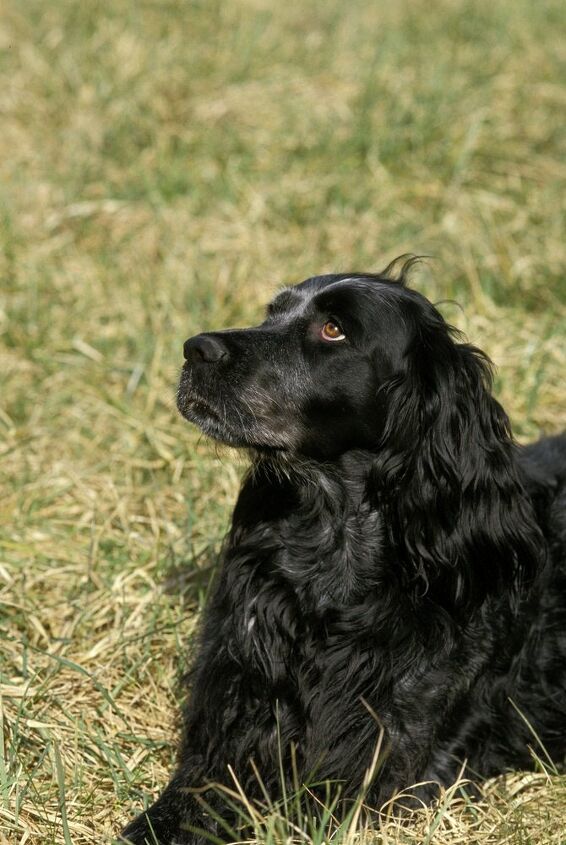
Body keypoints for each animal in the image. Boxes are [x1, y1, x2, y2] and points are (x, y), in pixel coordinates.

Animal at [124, 260, 566, 840]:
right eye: (272, 313)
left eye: (333, 329)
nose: (195, 348)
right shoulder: (237, 719)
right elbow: (188, 797)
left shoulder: (378, 763)